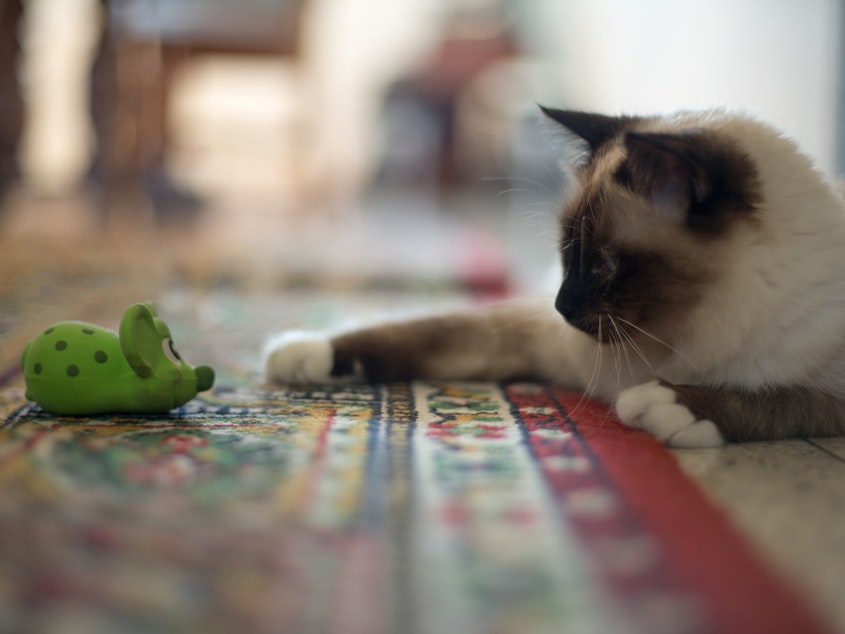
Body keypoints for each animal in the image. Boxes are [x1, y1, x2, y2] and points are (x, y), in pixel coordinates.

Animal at [264, 106, 844, 446]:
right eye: (566, 253)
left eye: (605, 264)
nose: (563, 306)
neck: (676, 336)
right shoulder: (529, 335)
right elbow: (422, 330)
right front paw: (305, 354)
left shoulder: (827, 393)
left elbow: (774, 400)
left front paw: (665, 405)